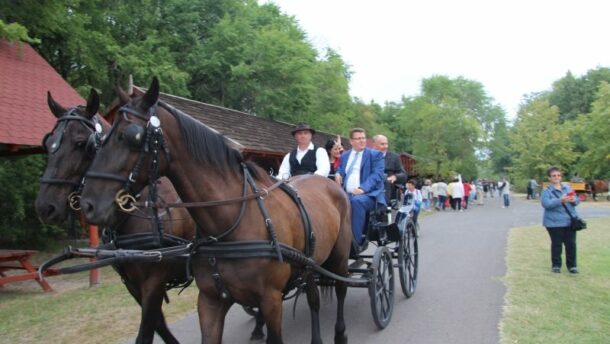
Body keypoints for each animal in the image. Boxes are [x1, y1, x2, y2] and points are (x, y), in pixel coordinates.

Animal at [35, 89, 195, 344]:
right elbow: (160, 326)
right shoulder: (132, 284)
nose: (45, 207)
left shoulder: (154, 281)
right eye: (48, 144)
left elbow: (146, 331)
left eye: (81, 143)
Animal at [79, 78, 352, 344]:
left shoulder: (271, 300)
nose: (88, 204)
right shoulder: (210, 301)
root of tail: (328, 182)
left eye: (130, 136)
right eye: (100, 140)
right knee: (313, 297)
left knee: (341, 289)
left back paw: (340, 333)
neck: (232, 225)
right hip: (310, 263)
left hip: (338, 257)